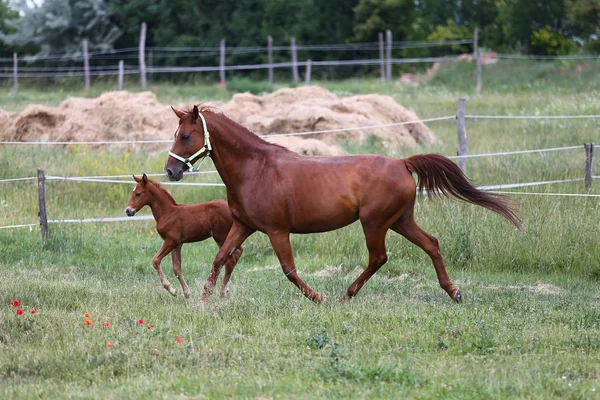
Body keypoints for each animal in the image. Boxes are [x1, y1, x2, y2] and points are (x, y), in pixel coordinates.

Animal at [164, 105, 520, 304]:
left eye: (185, 136)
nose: (170, 171)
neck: (256, 168)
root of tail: (402, 163)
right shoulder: (244, 225)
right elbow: (219, 259)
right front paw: (204, 299)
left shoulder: (277, 230)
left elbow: (289, 270)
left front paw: (318, 298)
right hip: (400, 220)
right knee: (431, 243)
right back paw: (454, 292)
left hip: (374, 223)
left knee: (379, 257)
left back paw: (345, 295)